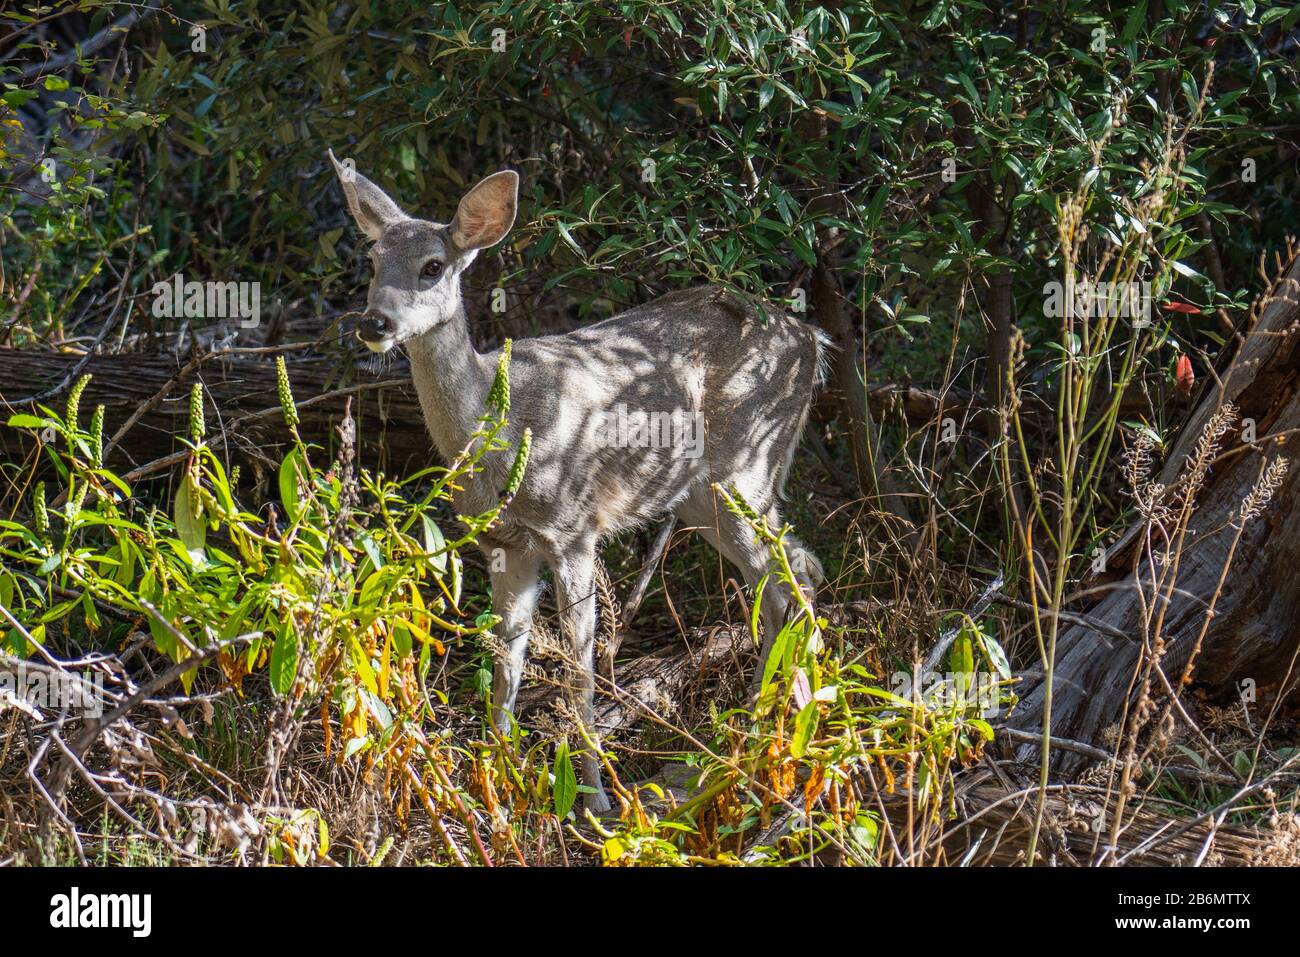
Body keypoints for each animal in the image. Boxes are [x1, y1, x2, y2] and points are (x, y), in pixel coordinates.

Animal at [329, 152, 825, 812]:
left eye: (432, 266)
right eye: (373, 260)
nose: (374, 322)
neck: (502, 431)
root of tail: (813, 340)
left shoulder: (574, 529)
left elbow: (578, 666)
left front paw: (594, 798)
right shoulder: (504, 544)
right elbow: (506, 659)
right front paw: (497, 776)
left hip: (748, 467)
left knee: (791, 571)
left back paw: (784, 725)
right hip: (702, 496)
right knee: (785, 573)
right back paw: (762, 722)